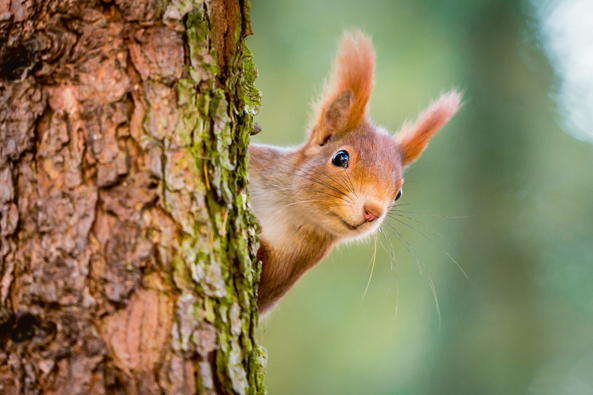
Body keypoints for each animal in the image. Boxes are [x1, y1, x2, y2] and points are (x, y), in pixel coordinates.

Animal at [247, 31, 460, 316]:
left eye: (399, 193)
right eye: (341, 157)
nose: (373, 211)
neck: (287, 208)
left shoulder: (290, 267)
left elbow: (262, 288)